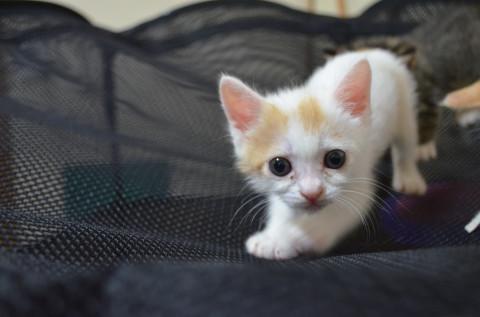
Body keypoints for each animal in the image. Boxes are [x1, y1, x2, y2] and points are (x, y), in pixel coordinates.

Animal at [219, 49, 426, 260]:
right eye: (279, 166)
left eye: (335, 159)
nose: (312, 193)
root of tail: (372, 50)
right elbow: (284, 206)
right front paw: (275, 232)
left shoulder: (358, 186)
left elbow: (327, 222)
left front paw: (286, 239)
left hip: (405, 106)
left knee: (406, 144)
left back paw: (409, 177)